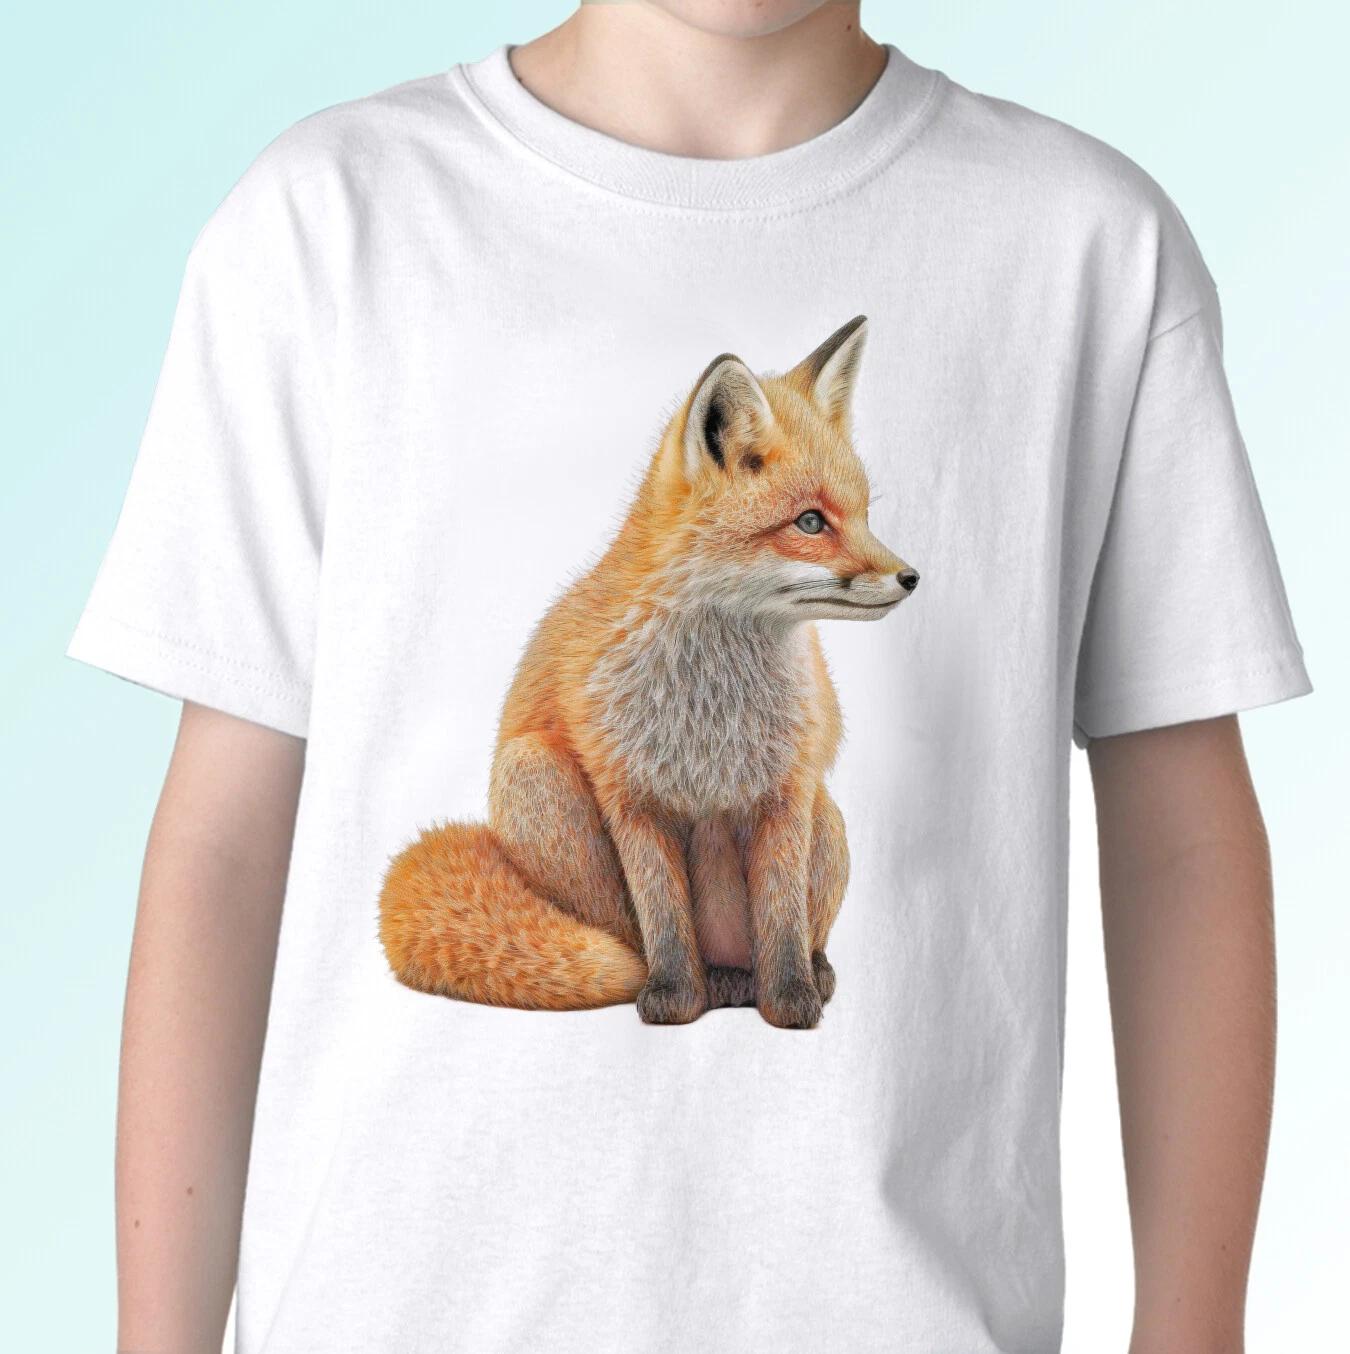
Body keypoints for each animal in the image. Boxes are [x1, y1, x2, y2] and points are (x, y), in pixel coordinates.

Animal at [379, 316, 919, 1029]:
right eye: (809, 522)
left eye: (863, 515)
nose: (911, 578)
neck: (711, 704)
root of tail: (730, 974)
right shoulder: (630, 794)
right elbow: (663, 918)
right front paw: (674, 998)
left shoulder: (786, 792)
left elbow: (781, 922)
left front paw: (791, 1002)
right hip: (533, 775)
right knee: (628, 940)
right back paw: (694, 984)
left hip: (826, 817)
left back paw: (797, 975)